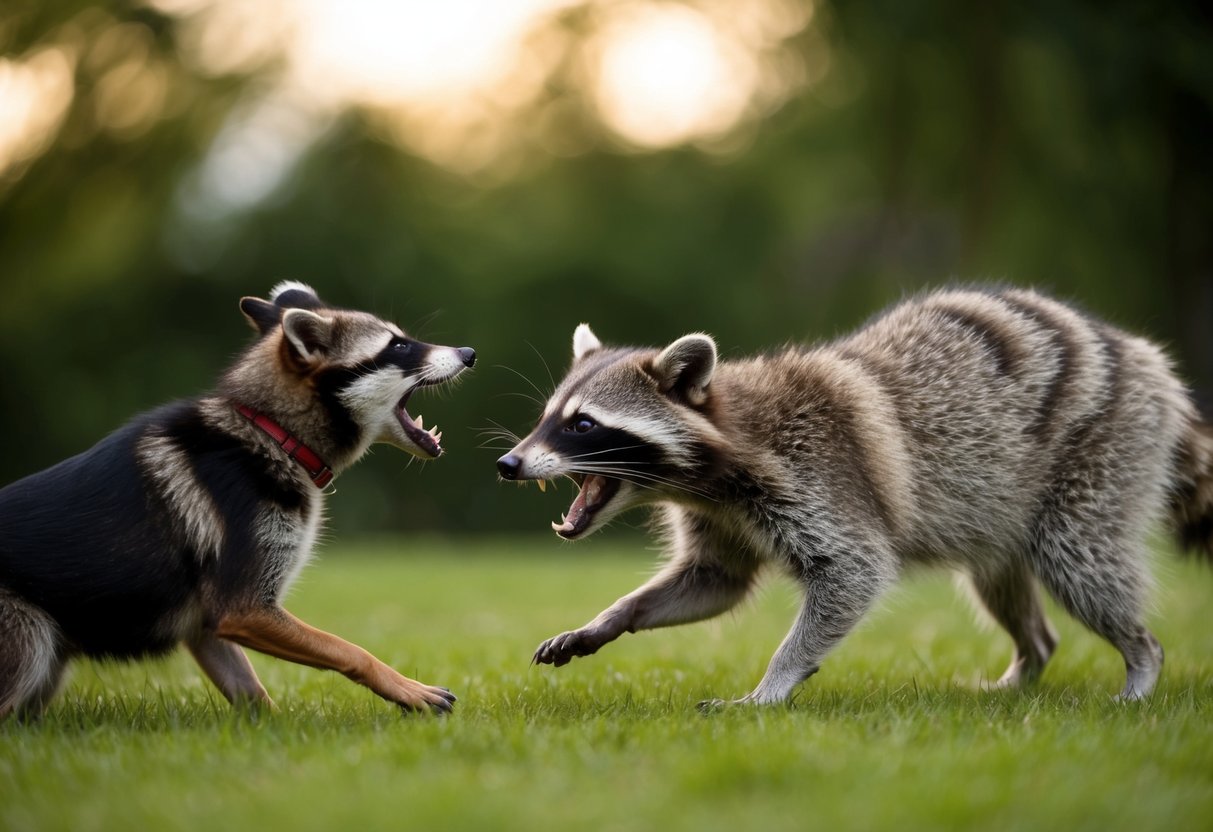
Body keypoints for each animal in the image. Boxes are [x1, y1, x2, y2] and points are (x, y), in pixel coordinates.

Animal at [0, 282, 475, 719]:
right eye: (398, 346)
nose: (469, 352)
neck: (275, 434)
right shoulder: (243, 602)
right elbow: (344, 648)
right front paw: (398, 684)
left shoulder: (207, 619)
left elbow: (247, 688)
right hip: (28, 634)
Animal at [497, 287, 1213, 706]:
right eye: (549, 417)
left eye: (582, 425)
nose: (508, 463)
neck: (710, 470)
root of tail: (1144, 359)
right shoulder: (721, 517)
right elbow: (714, 581)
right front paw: (613, 617)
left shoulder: (820, 472)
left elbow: (853, 571)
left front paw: (774, 682)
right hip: (998, 506)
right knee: (1003, 583)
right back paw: (1028, 663)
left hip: (1104, 445)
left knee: (1080, 561)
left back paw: (1140, 660)